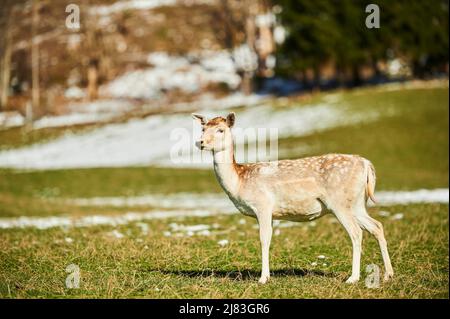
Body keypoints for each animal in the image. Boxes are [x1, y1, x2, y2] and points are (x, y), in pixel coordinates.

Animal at [192, 112, 392, 284]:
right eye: (203, 128)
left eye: (221, 130)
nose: (200, 142)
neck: (239, 181)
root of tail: (366, 164)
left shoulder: (263, 205)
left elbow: (264, 239)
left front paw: (263, 278)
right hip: (357, 203)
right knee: (377, 226)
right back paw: (388, 275)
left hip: (339, 202)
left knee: (356, 232)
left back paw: (353, 278)